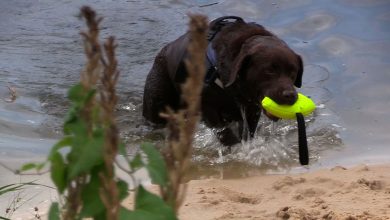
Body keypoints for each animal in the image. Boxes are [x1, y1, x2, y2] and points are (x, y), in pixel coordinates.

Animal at [142, 15, 304, 146]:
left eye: (293, 72)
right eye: (269, 71)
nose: (290, 95)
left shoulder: (251, 110)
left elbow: (247, 132)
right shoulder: (207, 107)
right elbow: (224, 132)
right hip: (157, 102)